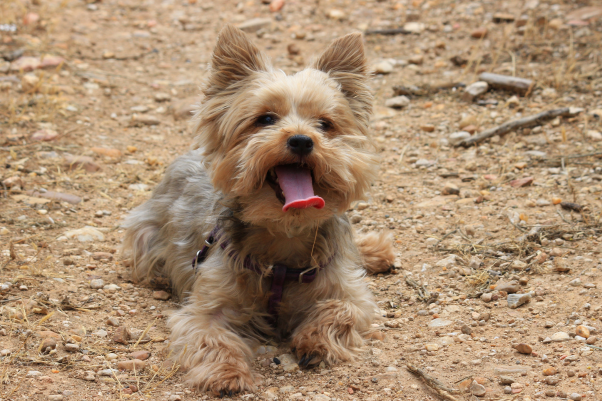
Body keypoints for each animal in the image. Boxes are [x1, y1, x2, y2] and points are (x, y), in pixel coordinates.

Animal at [122, 25, 394, 394]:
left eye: (324, 124)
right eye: (265, 119)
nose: (301, 140)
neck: (285, 233)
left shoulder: (349, 292)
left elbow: (340, 310)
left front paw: (314, 341)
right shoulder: (205, 306)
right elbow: (211, 336)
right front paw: (227, 374)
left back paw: (375, 251)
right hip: (145, 235)